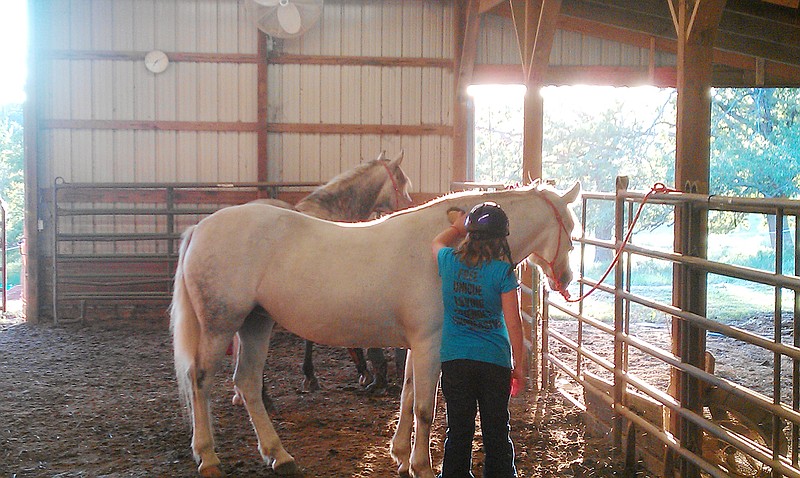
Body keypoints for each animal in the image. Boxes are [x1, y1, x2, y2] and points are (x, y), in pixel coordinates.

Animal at [172, 181, 580, 476]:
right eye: (572, 228)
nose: (565, 278)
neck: (448, 249)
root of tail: (201, 227)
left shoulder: (418, 344)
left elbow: (407, 396)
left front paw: (400, 455)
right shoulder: (430, 344)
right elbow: (424, 408)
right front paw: (421, 466)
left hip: (256, 324)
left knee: (247, 384)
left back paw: (279, 455)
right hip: (220, 326)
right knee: (200, 380)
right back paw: (208, 457)